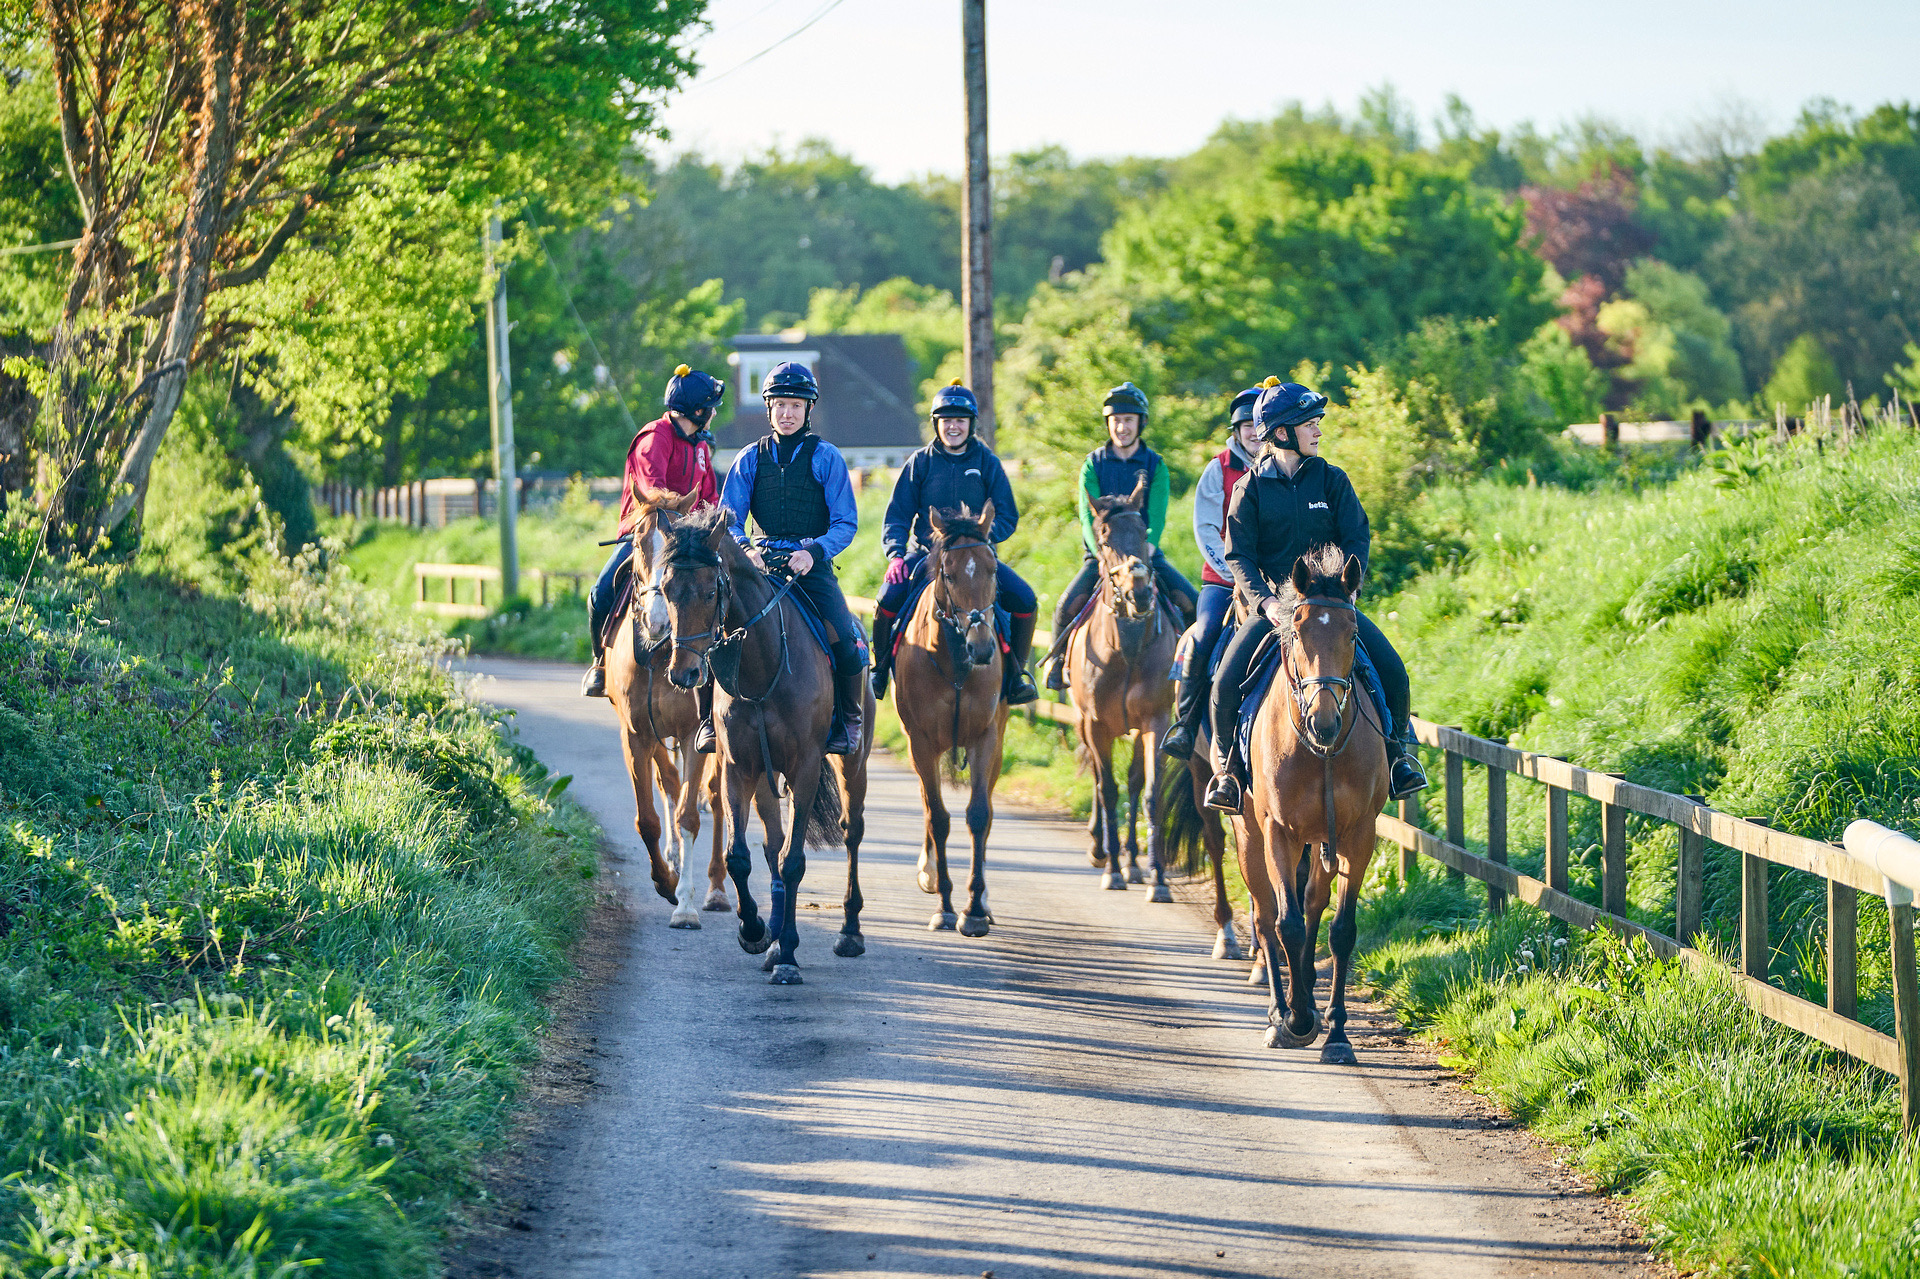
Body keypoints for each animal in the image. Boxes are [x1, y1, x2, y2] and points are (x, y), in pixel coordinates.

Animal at [610, 483, 729, 921]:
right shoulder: (636, 734)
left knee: (716, 797)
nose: (659, 620)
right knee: (670, 782)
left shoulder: (696, 734)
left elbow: (689, 814)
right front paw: (666, 881)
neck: (661, 654)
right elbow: (649, 817)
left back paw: (716, 888)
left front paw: (687, 904)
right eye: (638, 544)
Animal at [656, 503, 875, 979]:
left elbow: (794, 862)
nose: (684, 673)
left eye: (709, 591)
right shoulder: (740, 766)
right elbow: (742, 856)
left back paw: (849, 932)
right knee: (773, 842)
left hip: (852, 765)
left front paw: (788, 953)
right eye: (665, 588)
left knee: (851, 832)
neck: (765, 663)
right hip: (765, 777)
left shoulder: (806, 768)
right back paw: (772, 934)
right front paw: (755, 931)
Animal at [894, 503, 1013, 933]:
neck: (957, 664)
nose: (982, 649)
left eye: (992, 569)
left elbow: (978, 815)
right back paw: (929, 873)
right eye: (949, 573)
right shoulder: (921, 743)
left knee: (988, 810)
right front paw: (945, 905)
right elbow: (939, 818)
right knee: (929, 807)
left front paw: (975, 908)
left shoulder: (985, 738)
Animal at [1059, 470, 1175, 894]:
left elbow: (1149, 790)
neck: (1126, 650)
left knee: (1134, 782)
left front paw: (1155, 875)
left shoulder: (1155, 722)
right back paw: (1101, 849)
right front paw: (1111, 870)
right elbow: (1107, 790)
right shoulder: (1095, 724)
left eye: (1144, 532)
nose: (1139, 592)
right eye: (1105, 538)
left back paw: (1132, 861)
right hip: (1082, 722)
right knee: (1097, 779)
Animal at [1236, 541, 1390, 1060]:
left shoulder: (1358, 835)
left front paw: (1337, 1032)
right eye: (1297, 632)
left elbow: (1340, 930)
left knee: (1313, 904)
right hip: (1250, 835)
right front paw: (1297, 1020)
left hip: (1322, 840)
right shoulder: (1278, 832)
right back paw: (1278, 1013)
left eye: (1353, 633)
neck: (1318, 749)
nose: (1324, 721)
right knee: (1266, 916)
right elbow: (1287, 924)